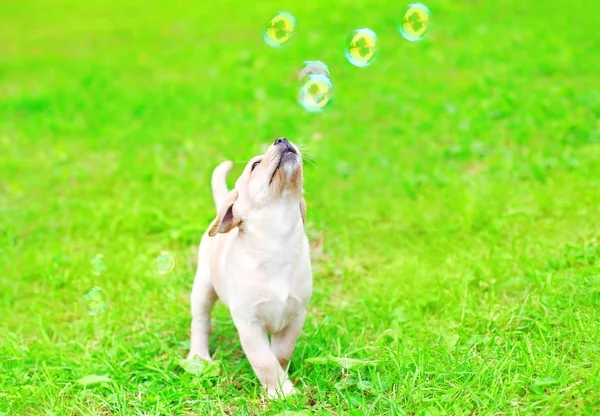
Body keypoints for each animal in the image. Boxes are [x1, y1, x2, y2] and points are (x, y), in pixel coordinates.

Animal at [189, 138, 314, 398]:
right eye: (256, 165)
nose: (282, 139)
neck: (277, 238)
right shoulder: (249, 324)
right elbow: (265, 361)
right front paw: (280, 392)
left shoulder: (296, 316)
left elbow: (280, 354)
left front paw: (283, 382)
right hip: (203, 288)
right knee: (200, 322)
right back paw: (199, 357)